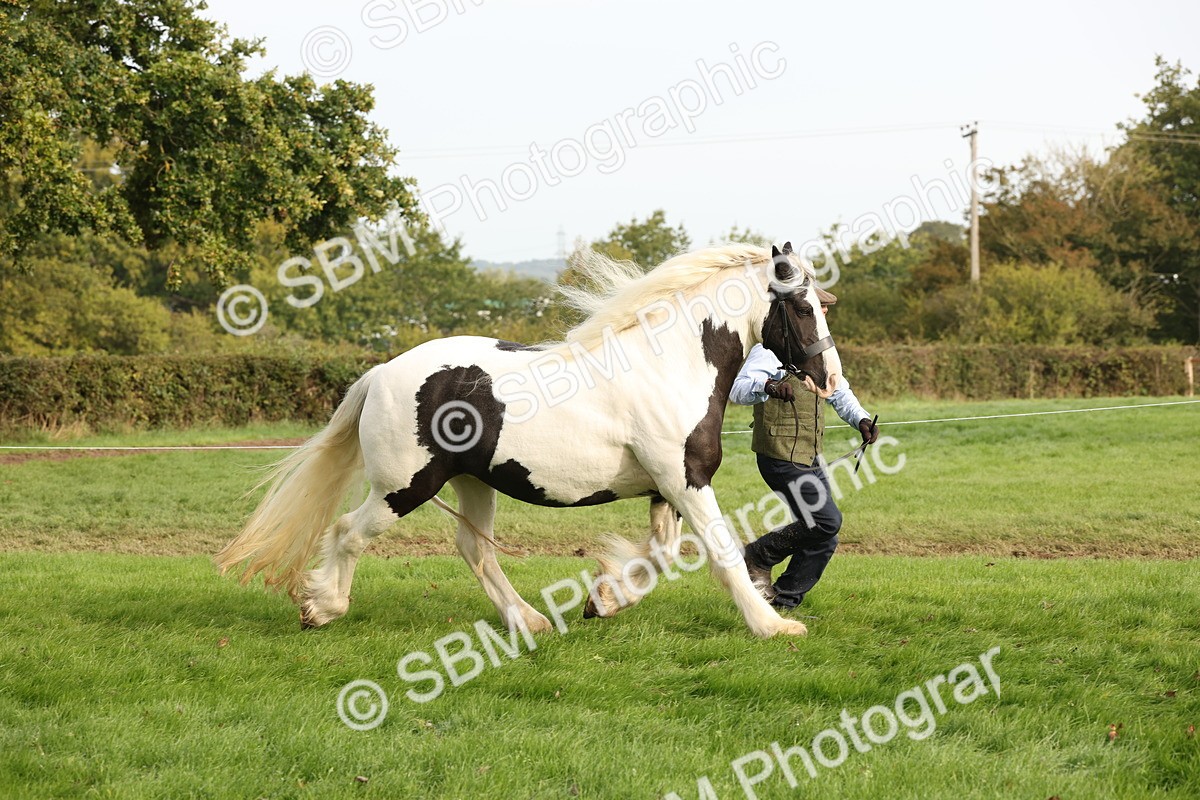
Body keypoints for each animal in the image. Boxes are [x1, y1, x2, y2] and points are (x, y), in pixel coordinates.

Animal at [215, 242, 842, 638]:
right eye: (802, 305)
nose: (829, 378)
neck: (670, 365)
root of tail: (381, 373)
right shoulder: (683, 480)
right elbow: (721, 553)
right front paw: (774, 626)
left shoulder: (667, 487)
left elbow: (663, 556)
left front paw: (604, 601)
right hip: (407, 486)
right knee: (348, 531)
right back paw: (322, 608)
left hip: (472, 481)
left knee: (473, 549)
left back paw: (530, 622)